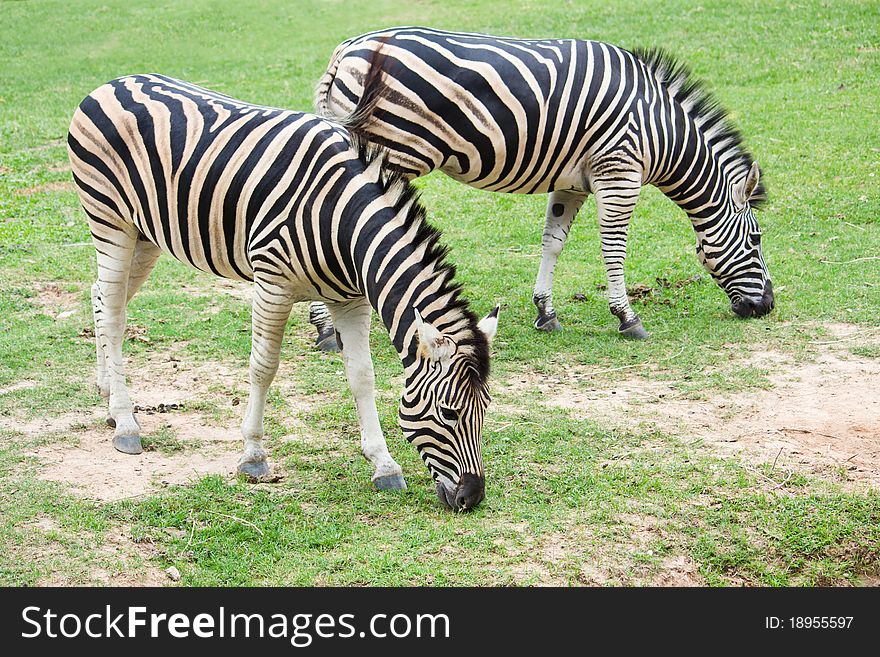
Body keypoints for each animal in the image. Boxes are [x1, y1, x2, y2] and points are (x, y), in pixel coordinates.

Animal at [65, 74, 498, 510]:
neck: (344, 224)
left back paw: (106, 392)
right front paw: (254, 455)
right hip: (110, 221)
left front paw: (383, 463)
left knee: (101, 297)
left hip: (146, 234)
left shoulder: (351, 299)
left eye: (485, 409)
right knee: (115, 315)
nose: (472, 497)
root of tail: (114, 82)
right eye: (448, 412)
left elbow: (362, 376)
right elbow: (264, 367)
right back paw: (125, 423)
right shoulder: (272, 282)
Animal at [306, 26, 772, 352]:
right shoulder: (618, 172)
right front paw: (628, 318)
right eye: (756, 239)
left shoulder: (573, 184)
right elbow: (614, 250)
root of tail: (344, 52)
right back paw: (329, 328)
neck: (660, 130)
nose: (766, 307)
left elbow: (553, 242)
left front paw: (545, 311)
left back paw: (326, 326)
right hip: (390, 149)